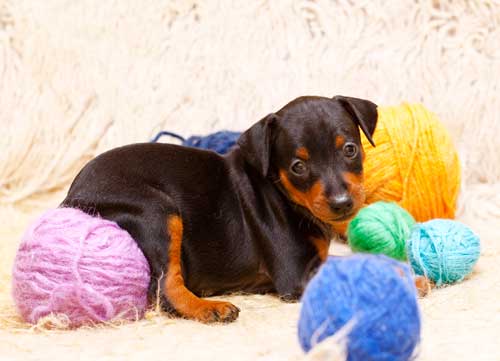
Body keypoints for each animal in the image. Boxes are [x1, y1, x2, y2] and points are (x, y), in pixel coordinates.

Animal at [60, 95, 376, 324]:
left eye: (350, 149)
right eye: (298, 167)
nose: (342, 203)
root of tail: (72, 196)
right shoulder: (296, 273)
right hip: (157, 211)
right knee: (166, 289)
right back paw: (211, 308)